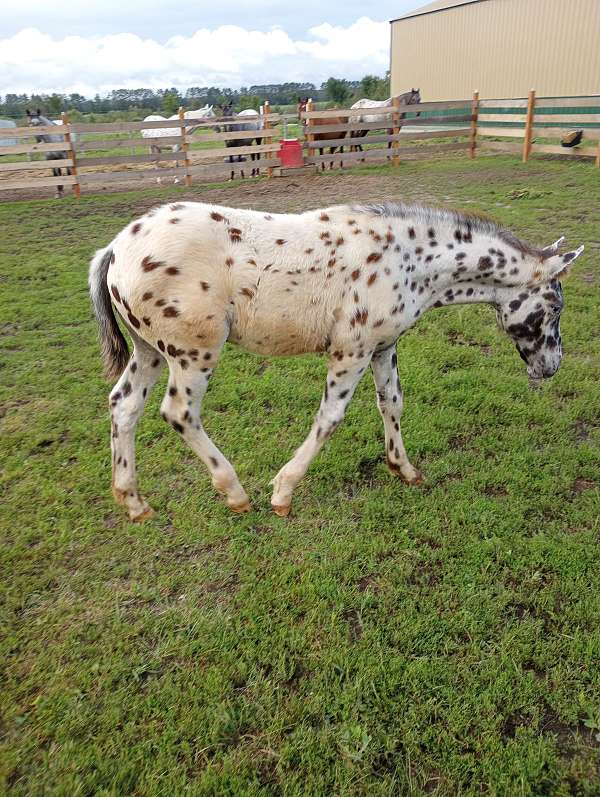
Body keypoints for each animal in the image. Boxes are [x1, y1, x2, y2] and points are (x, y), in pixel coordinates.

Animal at [91, 202, 584, 520]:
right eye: (555, 306)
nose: (550, 367)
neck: (410, 260)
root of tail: (114, 248)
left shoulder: (383, 346)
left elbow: (392, 403)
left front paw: (405, 470)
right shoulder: (352, 349)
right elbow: (330, 417)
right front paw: (283, 493)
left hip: (149, 349)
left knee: (124, 405)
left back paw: (134, 503)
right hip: (194, 352)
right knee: (179, 412)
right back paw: (235, 494)